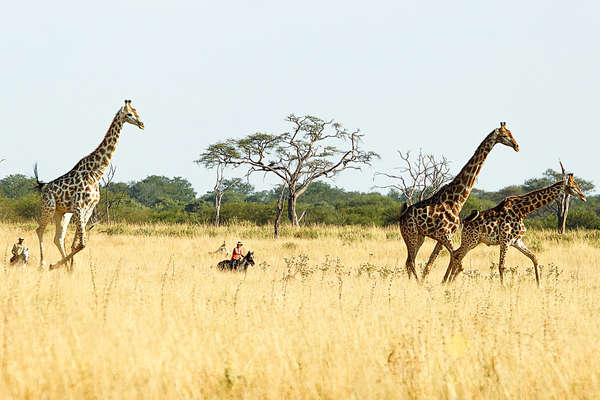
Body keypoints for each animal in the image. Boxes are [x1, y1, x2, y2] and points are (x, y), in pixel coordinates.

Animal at [34, 98, 144, 270]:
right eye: (129, 114)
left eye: (136, 111)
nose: (141, 123)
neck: (96, 174)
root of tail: (44, 188)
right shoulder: (79, 207)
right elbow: (83, 243)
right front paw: (59, 266)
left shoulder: (89, 209)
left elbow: (76, 243)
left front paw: (70, 269)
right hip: (49, 207)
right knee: (40, 230)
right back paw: (43, 264)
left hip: (62, 213)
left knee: (58, 238)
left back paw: (62, 266)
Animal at [398, 122, 520, 282]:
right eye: (505, 135)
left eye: (511, 133)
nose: (517, 146)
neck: (457, 200)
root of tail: (401, 218)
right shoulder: (444, 234)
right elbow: (457, 261)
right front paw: (443, 283)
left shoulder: (444, 235)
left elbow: (433, 263)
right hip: (410, 233)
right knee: (411, 261)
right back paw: (417, 284)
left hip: (419, 236)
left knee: (408, 261)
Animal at [440, 162, 584, 288]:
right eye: (572, 187)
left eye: (577, 185)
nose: (583, 196)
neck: (523, 211)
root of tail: (464, 222)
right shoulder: (505, 240)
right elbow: (501, 266)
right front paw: (503, 287)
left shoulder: (516, 241)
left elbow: (534, 258)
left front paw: (539, 285)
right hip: (471, 240)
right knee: (457, 254)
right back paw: (448, 281)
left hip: (473, 241)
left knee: (456, 254)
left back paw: (447, 281)